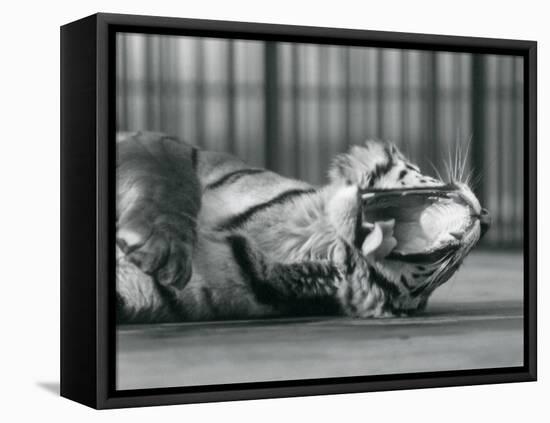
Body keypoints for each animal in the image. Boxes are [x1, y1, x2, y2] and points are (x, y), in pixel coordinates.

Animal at [115, 132, 492, 324]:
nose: (488, 218)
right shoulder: (160, 144)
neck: (309, 234)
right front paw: (160, 245)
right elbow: (172, 179)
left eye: (452, 269)